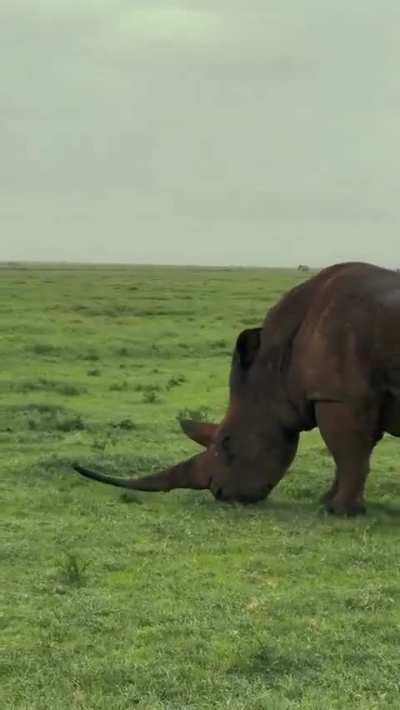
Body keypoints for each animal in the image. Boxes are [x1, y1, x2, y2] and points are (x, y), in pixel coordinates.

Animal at [73, 262, 400, 515]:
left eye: (228, 442)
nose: (220, 493)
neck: (275, 369)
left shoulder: (338, 397)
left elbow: (347, 453)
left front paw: (338, 511)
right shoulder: (353, 397)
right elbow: (354, 453)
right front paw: (327, 502)